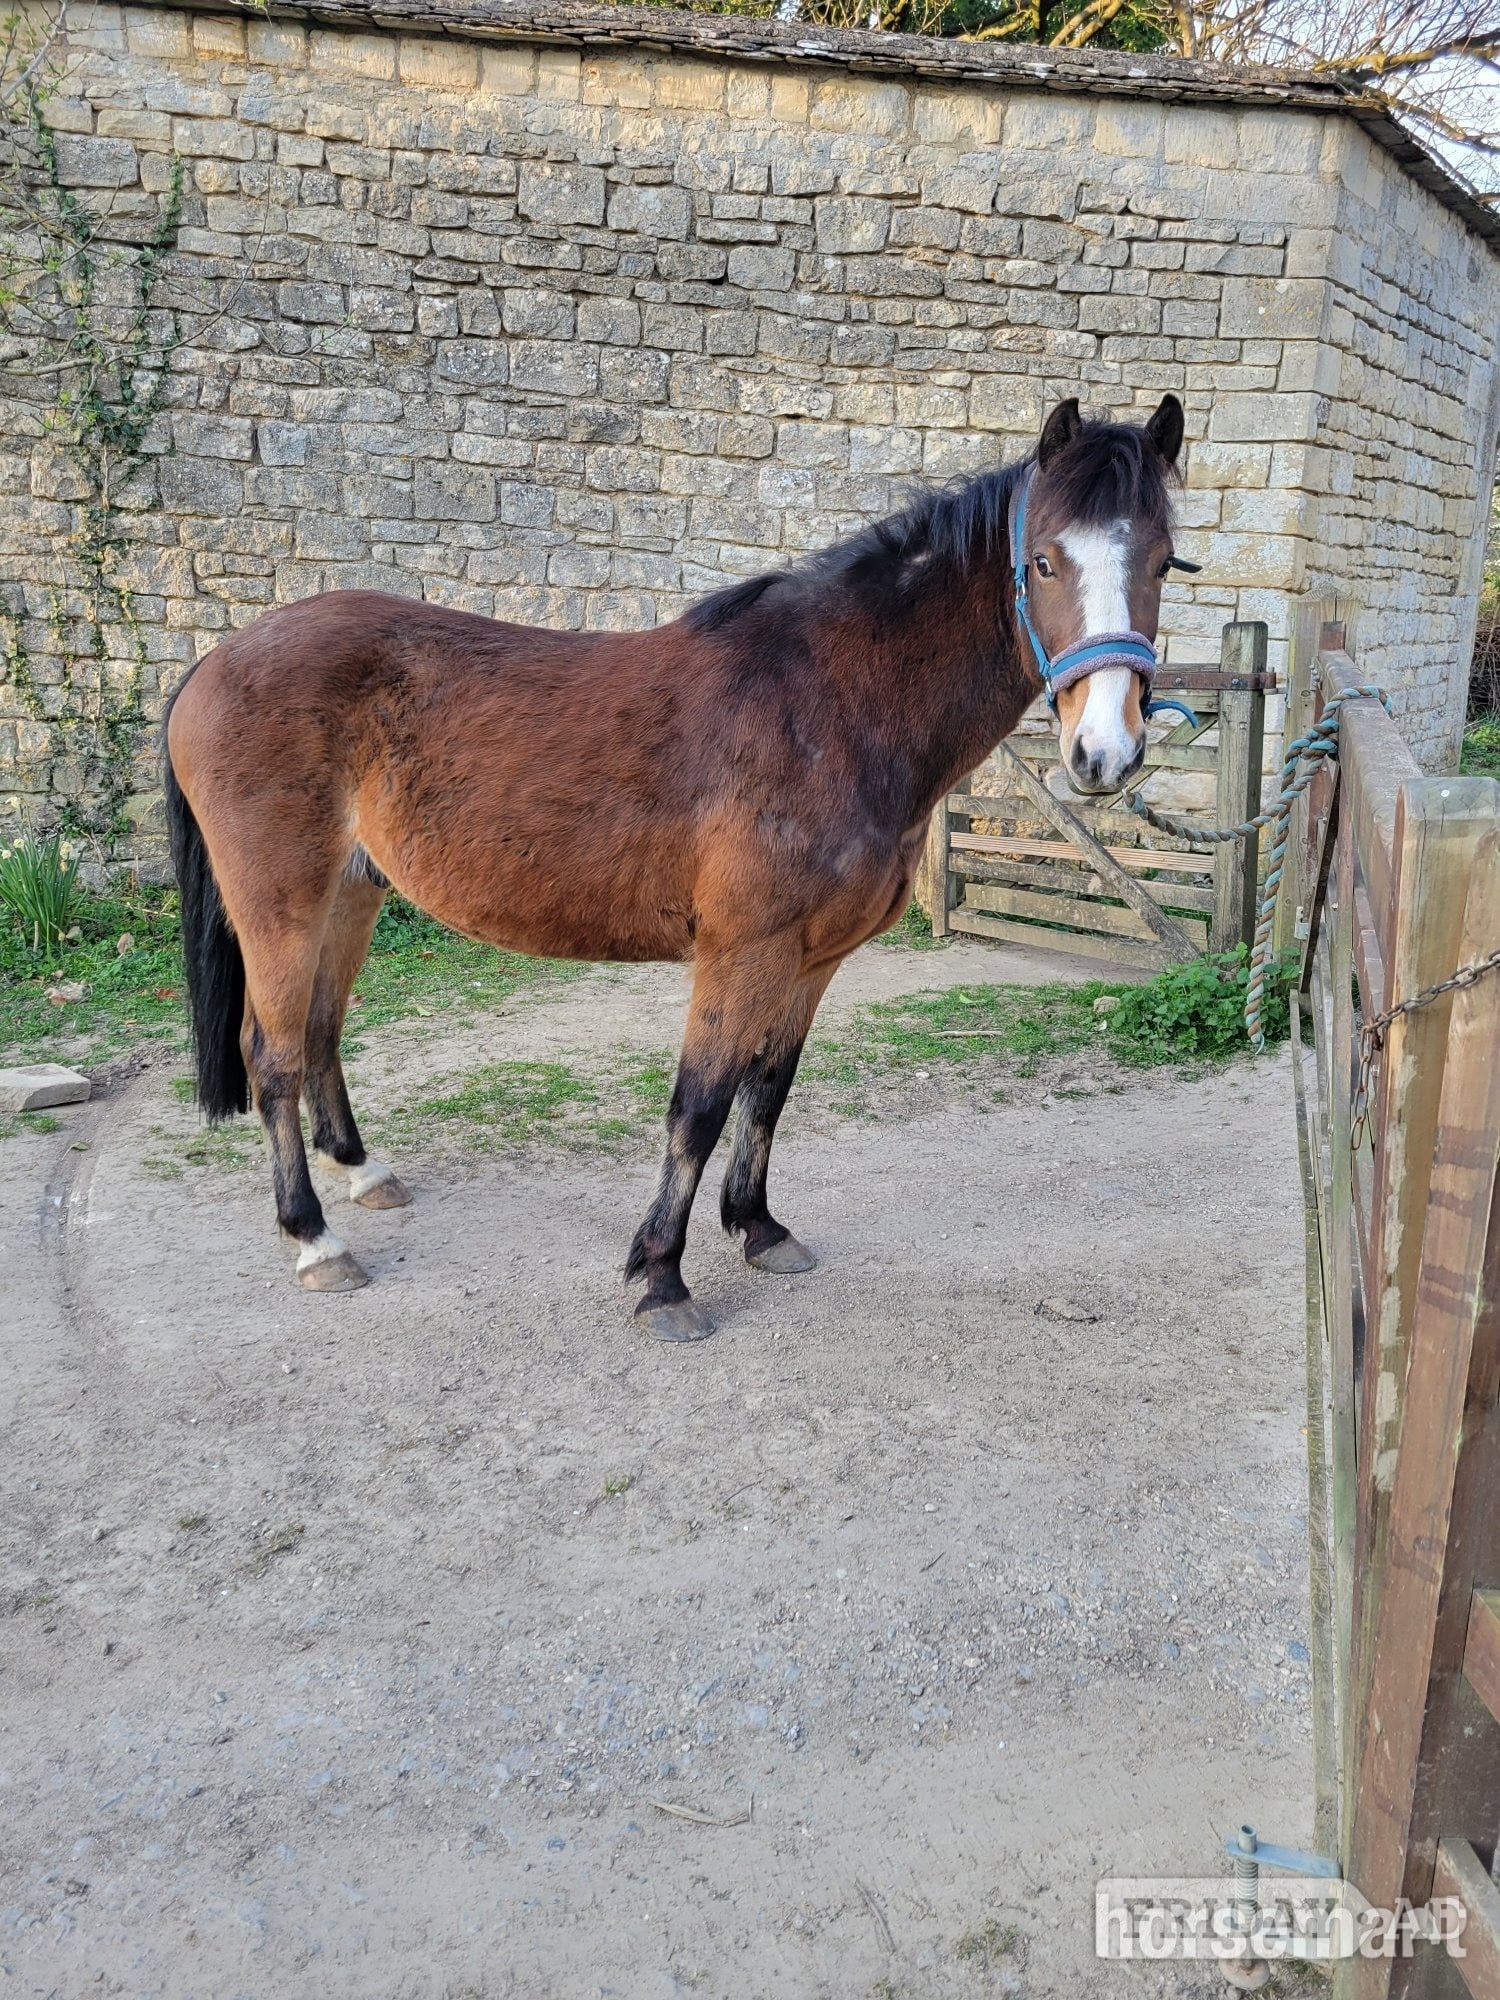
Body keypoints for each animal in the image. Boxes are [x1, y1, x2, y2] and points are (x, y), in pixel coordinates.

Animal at [163, 392, 1186, 1339]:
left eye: (1163, 561)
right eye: (1045, 560)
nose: (1105, 753)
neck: (829, 703)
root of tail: (216, 660)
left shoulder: (811, 959)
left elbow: (768, 1092)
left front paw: (760, 1228)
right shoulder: (741, 951)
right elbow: (699, 1106)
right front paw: (662, 1277)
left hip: (350, 895)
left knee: (321, 1032)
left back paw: (363, 1173)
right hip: (281, 905)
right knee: (274, 1055)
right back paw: (314, 1239)